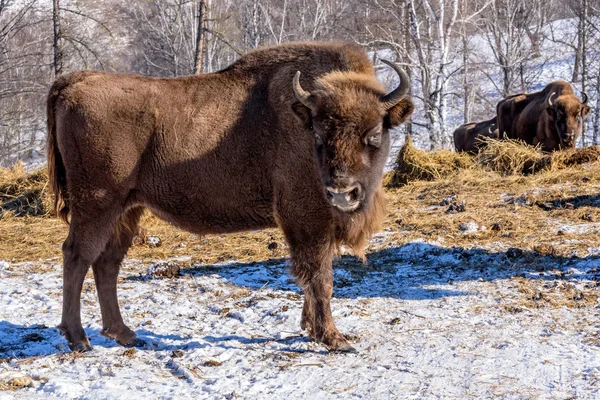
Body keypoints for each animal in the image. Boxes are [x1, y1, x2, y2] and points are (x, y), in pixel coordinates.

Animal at [47, 41, 414, 354]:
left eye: (374, 134)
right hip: (97, 204)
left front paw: (311, 329)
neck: (302, 120)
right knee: (77, 255)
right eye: (319, 134)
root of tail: (75, 81)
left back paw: (124, 334)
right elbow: (320, 278)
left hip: (127, 209)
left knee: (106, 263)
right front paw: (334, 339)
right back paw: (78, 338)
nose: (342, 191)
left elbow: (312, 279)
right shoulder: (307, 219)